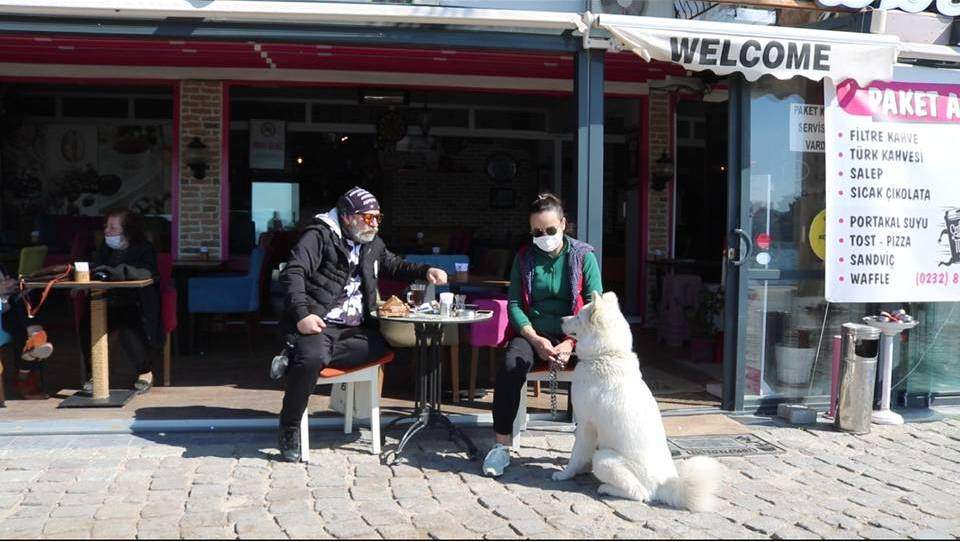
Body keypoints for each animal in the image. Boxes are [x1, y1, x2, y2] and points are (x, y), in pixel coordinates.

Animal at [548, 294, 720, 516]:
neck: (607, 354)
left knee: (640, 494)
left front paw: (565, 474)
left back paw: (606, 488)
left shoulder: (586, 425)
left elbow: (576, 454)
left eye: (578, 316)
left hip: (604, 458)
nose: (561, 319)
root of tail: (665, 485)